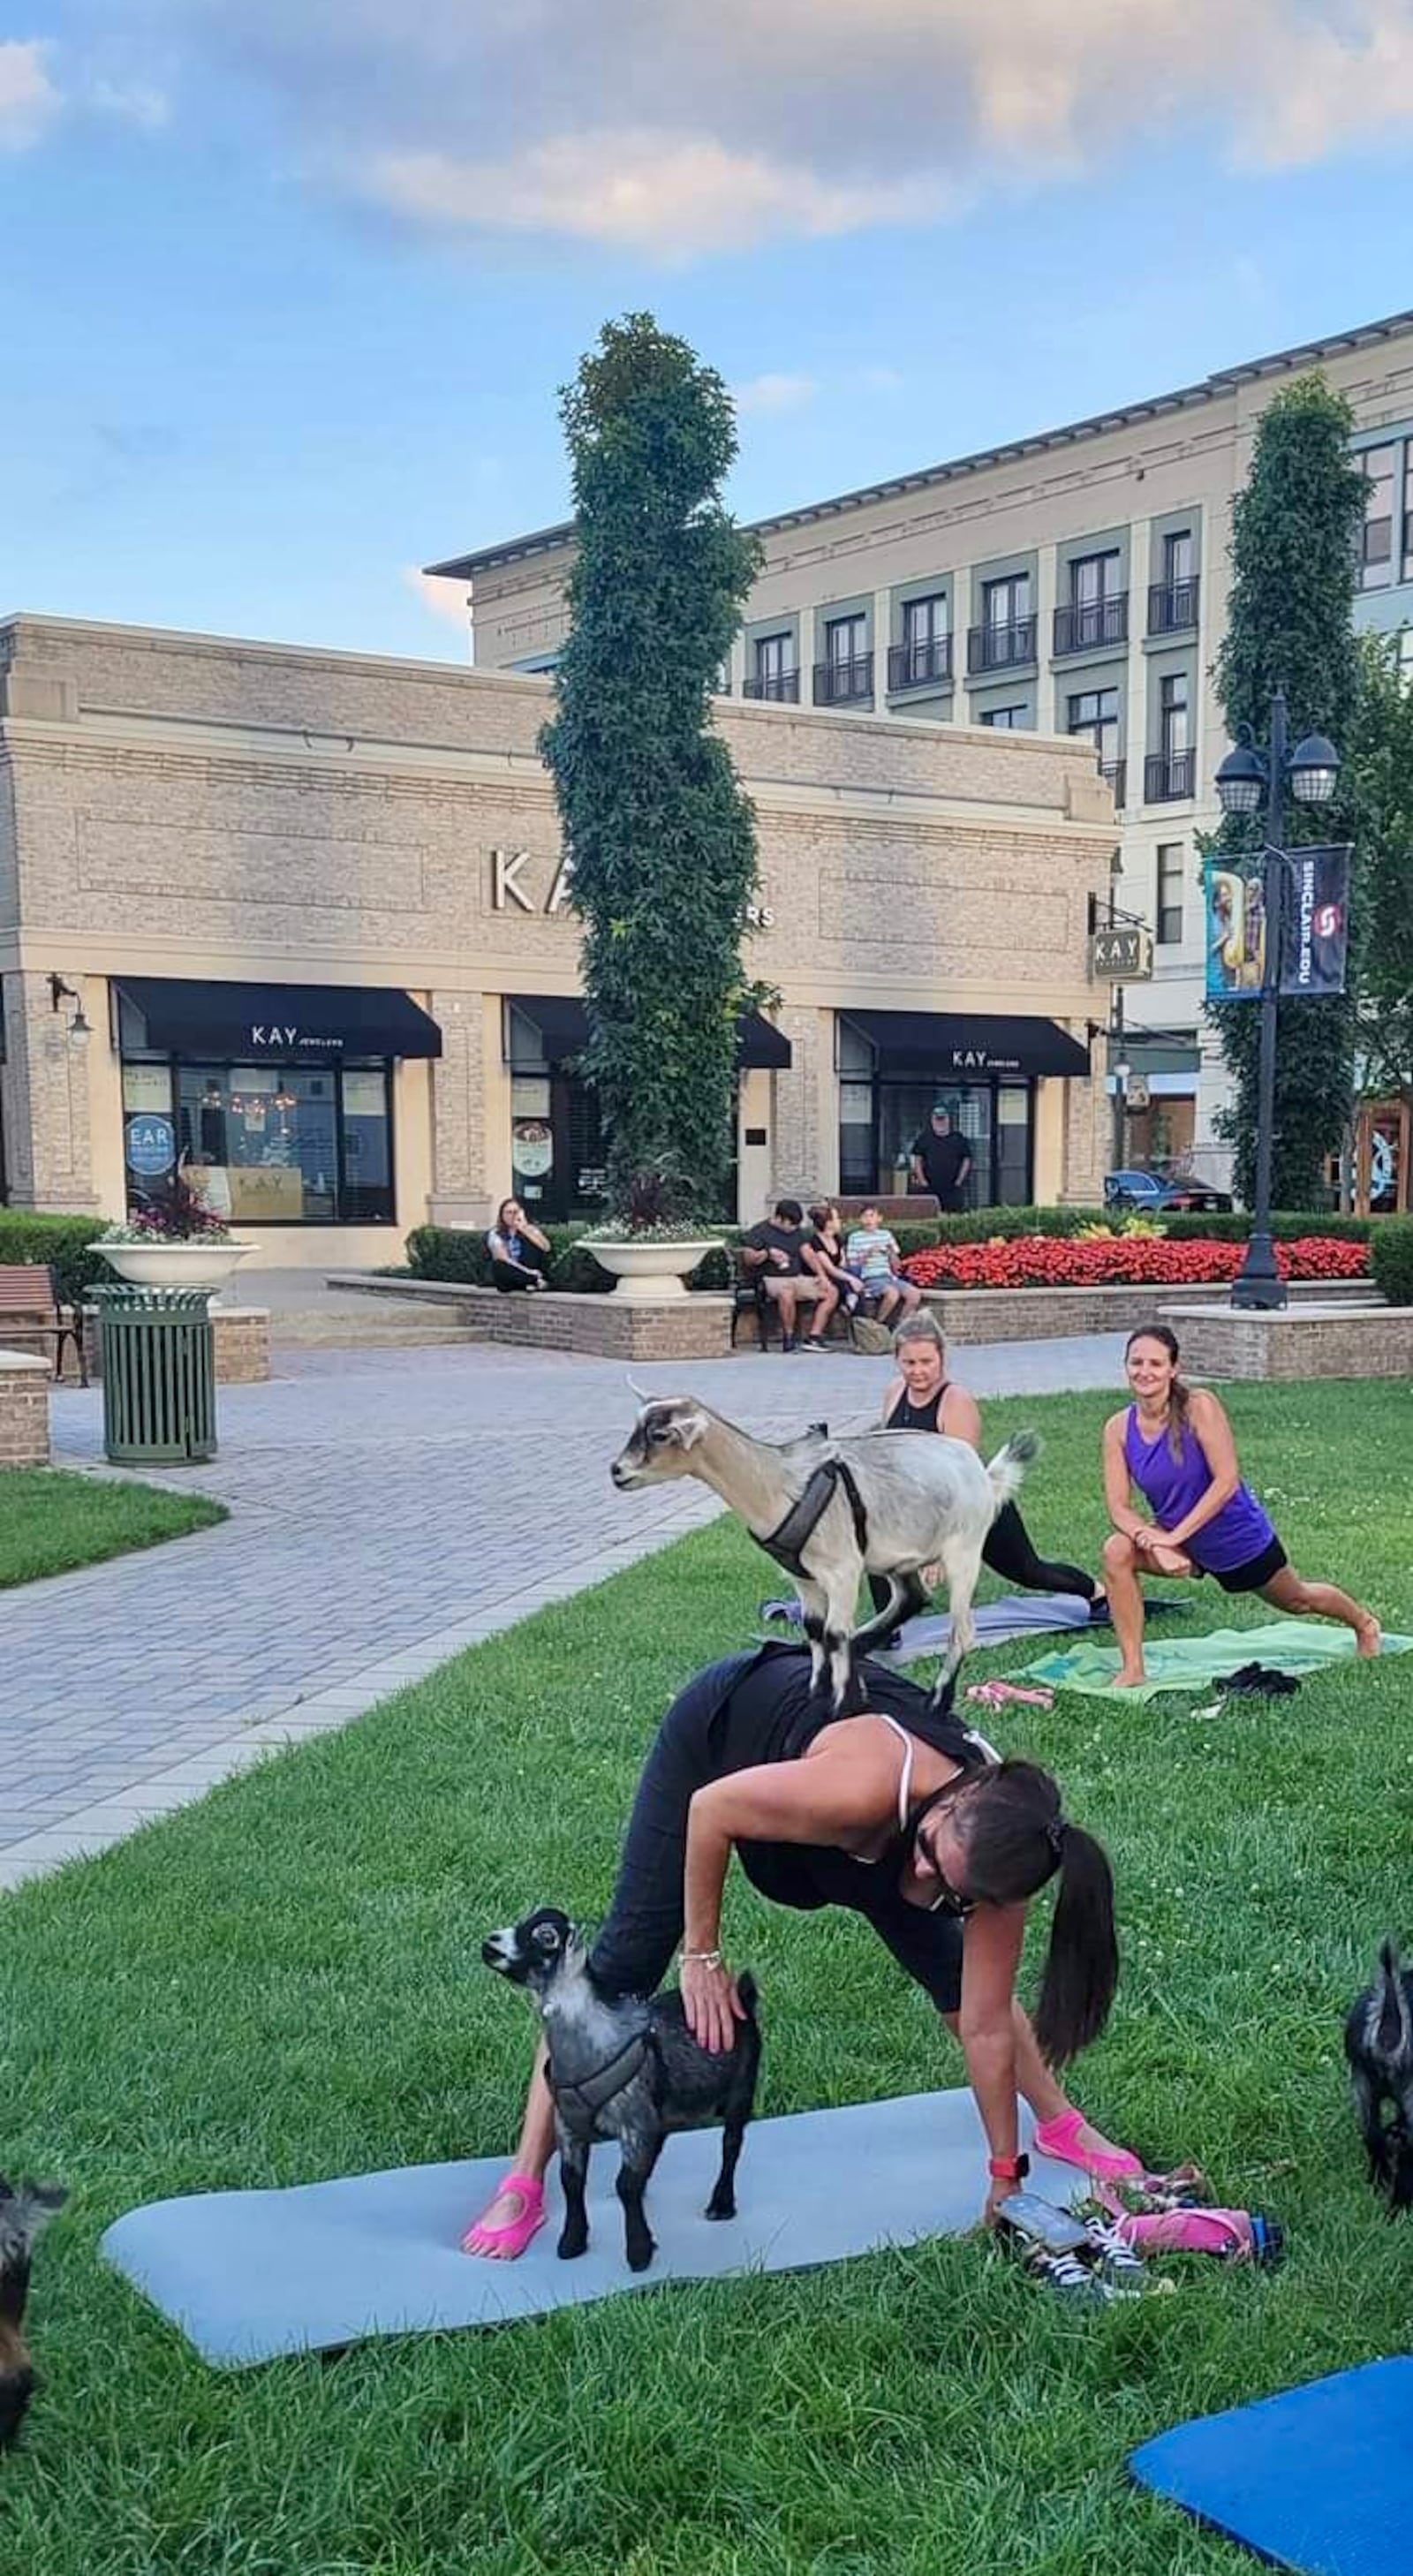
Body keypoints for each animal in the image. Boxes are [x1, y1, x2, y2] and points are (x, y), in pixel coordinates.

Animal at [480, 1906, 761, 2266]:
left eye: (546, 1937)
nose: (490, 1943)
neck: (593, 2045)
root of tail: (741, 2000)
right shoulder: (568, 2125)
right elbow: (571, 2181)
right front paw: (572, 2242)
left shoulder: (634, 2122)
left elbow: (625, 2185)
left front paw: (639, 2252)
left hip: (741, 2089)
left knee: (731, 2146)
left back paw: (720, 2204)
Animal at [609, 1391, 1034, 1710]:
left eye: (660, 1435)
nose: (617, 1471)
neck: (777, 1483)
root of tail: (985, 1476)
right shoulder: (803, 1577)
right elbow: (816, 1629)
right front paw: (817, 1689)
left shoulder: (842, 1569)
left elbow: (834, 1632)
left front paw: (844, 1704)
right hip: (896, 1557)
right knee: (913, 1597)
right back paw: (867, 1645)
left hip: (964, 1549)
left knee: (961, 1630)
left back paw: (937, 1701)